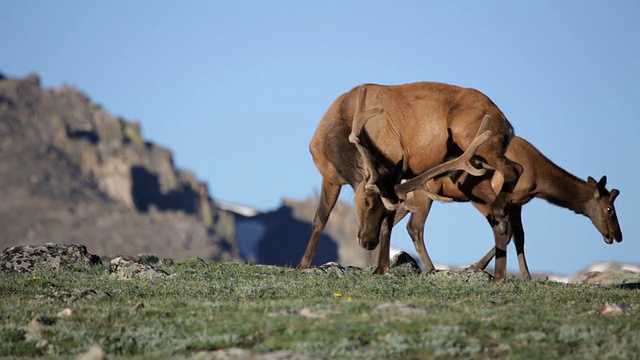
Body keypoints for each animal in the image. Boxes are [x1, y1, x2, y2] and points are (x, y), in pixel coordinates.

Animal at [298, 81, 524, 274]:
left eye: (379, 206)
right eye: (367, 201)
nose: (369, 242)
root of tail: (508, 124)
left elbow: (387, 224)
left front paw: (382, 268)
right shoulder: (330, 178)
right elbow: (320, 218)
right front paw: (303, 264)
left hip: (477, 140)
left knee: (514, 170)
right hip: (473, 176)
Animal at [388, 135, 624, 282]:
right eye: (610, 208)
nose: (617, 236)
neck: (539, 180)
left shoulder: (517, 204)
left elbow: (520, 236)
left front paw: (526, 275)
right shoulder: (497, 198)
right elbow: (507, 232)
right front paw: (477, 266)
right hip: (424, 194)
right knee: (414, 227)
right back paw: (431, 268)